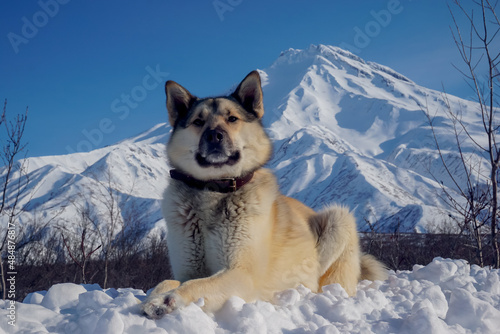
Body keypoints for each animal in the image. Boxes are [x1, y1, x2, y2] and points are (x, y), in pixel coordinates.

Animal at [141, 71, 386, 318]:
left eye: (232, 119)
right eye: (198, 122)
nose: (214, 136)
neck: (214, 188)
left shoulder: (242, 274)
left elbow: (196, 285)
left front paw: (169, 299)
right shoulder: (187, 269)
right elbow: (169, 281)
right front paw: (156, 296)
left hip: (338, 219)